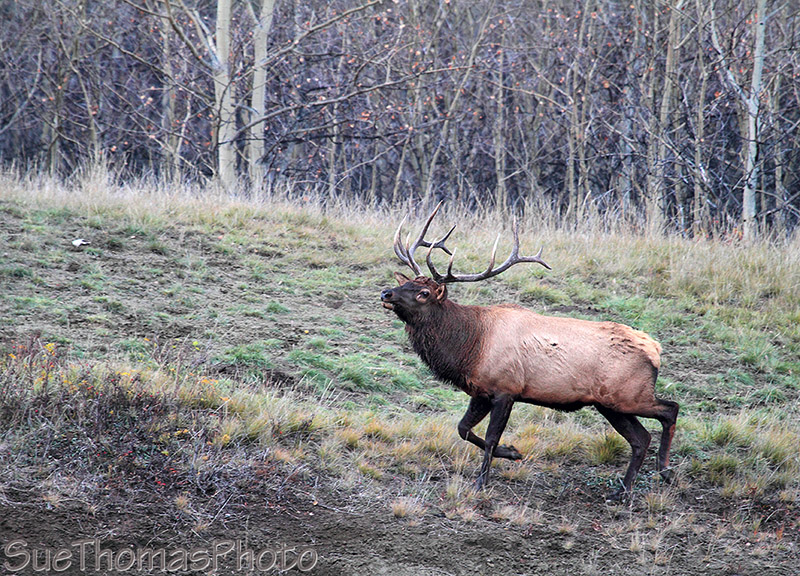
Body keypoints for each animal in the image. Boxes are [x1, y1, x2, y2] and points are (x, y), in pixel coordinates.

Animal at [380, 203, 679, 499]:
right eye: (405, 284)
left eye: (424, 294)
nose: (386, 293)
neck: (470, 347)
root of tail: (655, 349)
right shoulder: (481, 391)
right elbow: (463, 429)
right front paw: (512, 453)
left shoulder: (506, 388)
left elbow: (491, 437)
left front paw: (482, 481)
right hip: (609, 403)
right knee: (641, 438)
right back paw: (624, 490)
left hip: (628, 395)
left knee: (670, 409)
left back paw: (664, 471)